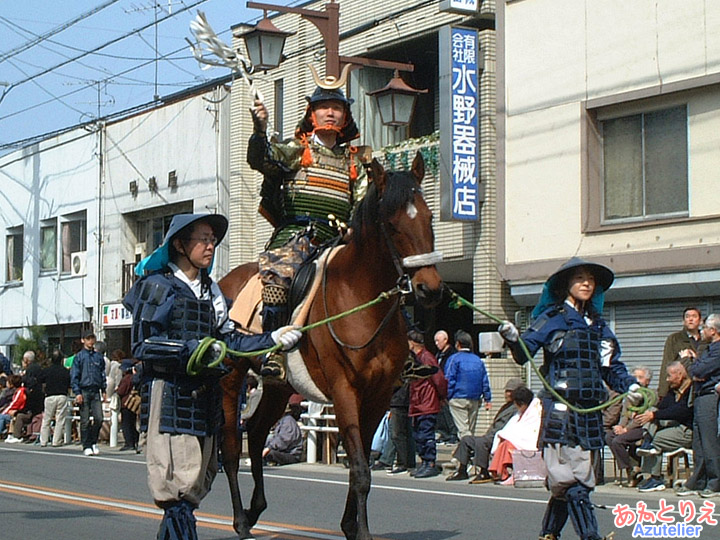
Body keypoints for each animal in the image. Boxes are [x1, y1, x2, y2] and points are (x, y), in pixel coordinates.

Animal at [218, 152, 444, 540]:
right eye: (393, 225)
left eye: (429, 219)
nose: (430, 288)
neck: (363, 298)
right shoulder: (345, 390)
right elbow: (360, 469)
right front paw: (360, 531)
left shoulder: (379, 394)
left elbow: (361, 463)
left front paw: (350, 525)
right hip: (232, 378)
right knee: (232, 448)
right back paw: (240, 520)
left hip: (279, 386)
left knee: (259, 433)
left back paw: (255, 508)